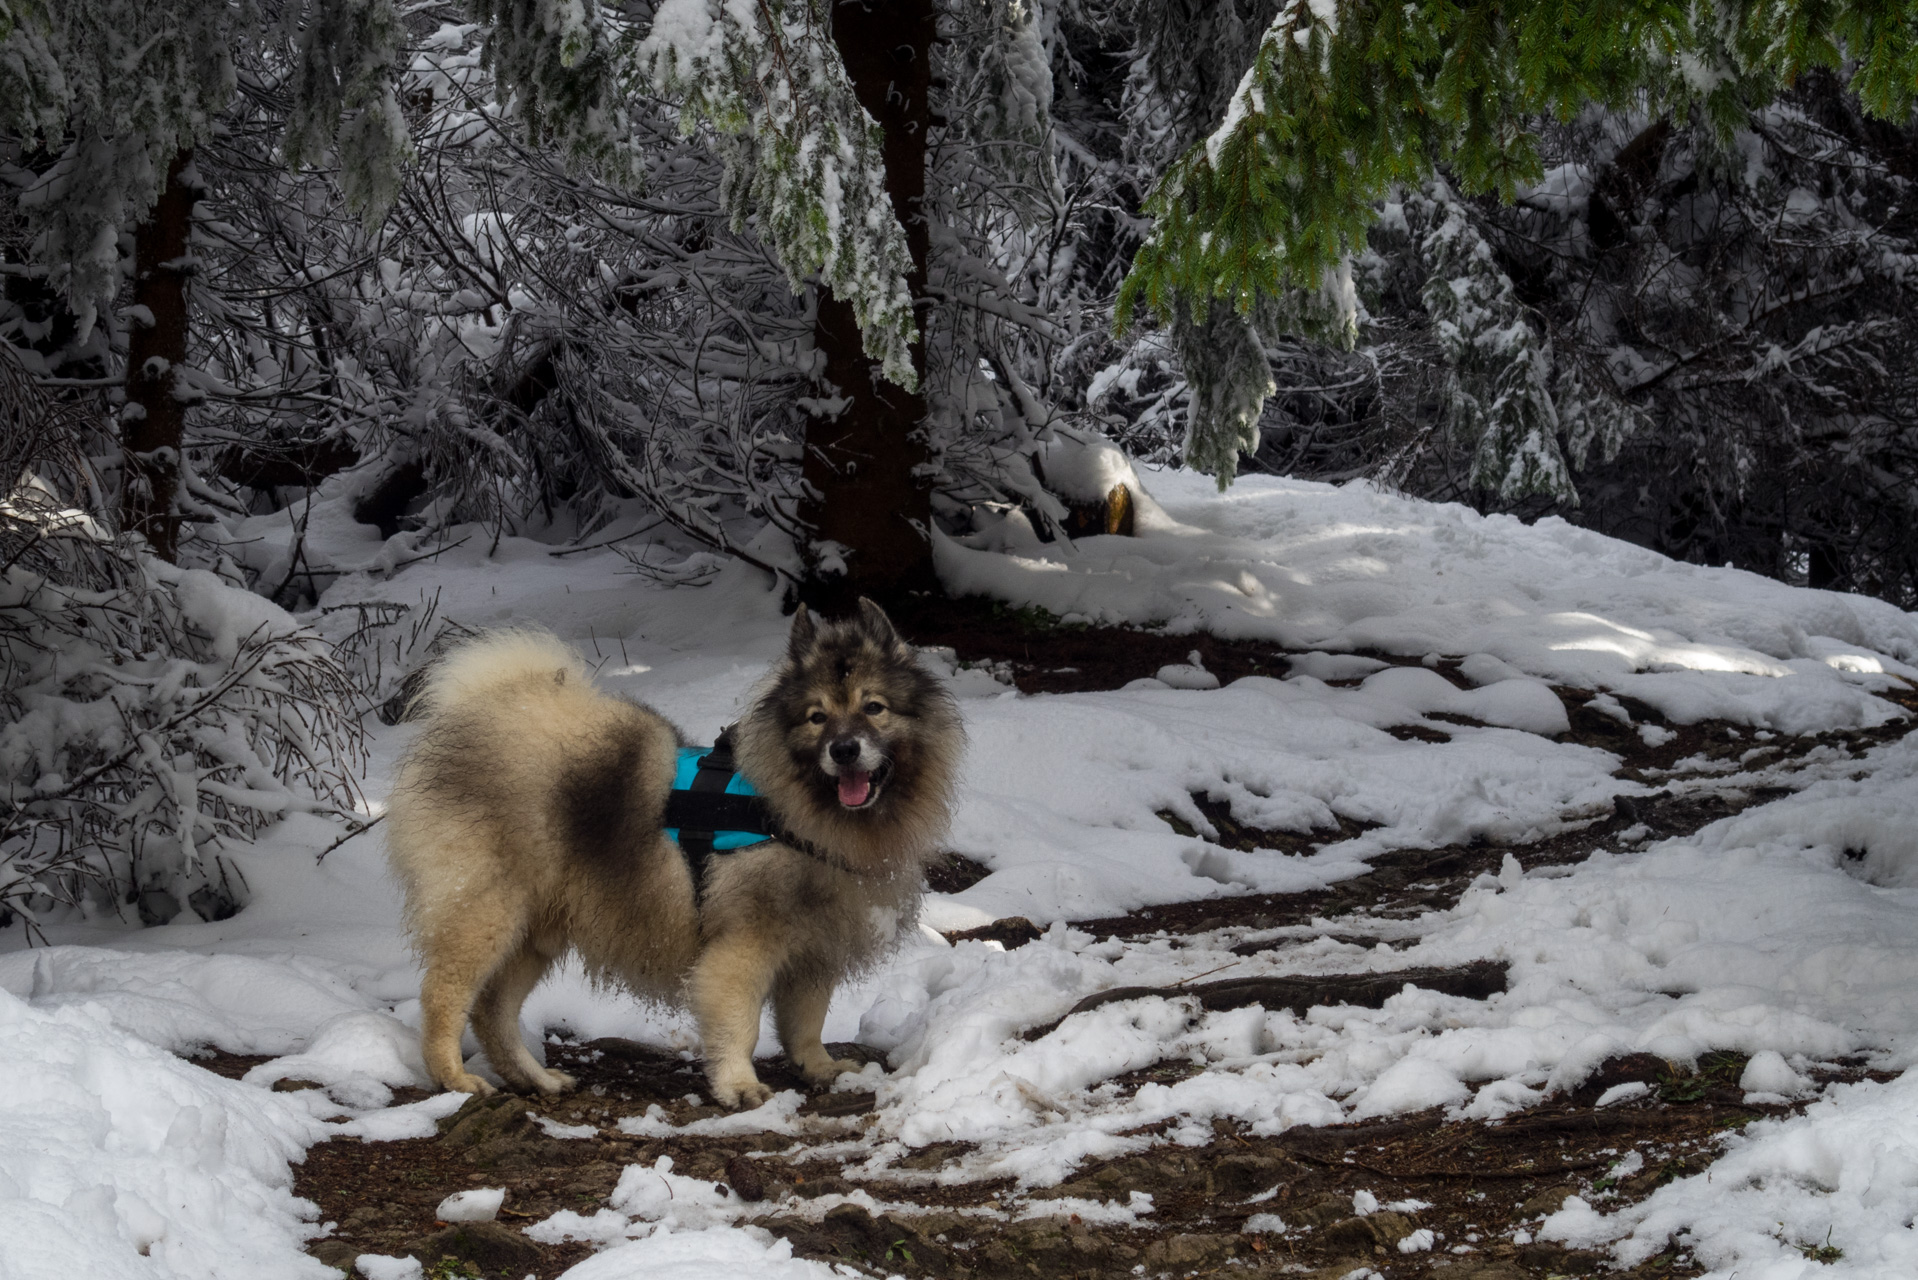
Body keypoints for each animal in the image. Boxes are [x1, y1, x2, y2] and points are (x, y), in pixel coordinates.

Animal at [385, 602, 959, 1113]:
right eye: (817, 717)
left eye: (874, 707)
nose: (844, 750)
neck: (793, 812)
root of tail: (475, 709)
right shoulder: (744, 947)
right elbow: (740, 1023)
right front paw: (738, 1086)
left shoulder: (813, 950)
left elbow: (806, 1023)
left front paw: (818, 1068)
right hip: (486, 915)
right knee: (444, 997)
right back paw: (455, 1078)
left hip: (536, 931)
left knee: (493, 1011)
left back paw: (534, 1079)